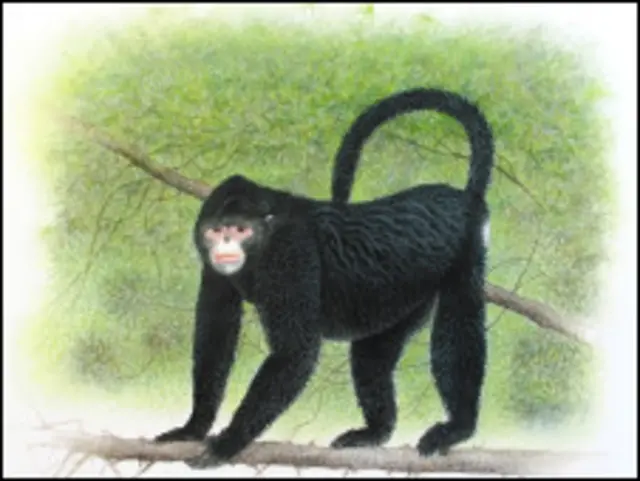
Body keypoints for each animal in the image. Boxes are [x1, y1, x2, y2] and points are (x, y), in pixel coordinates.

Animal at [154, 87, 494, 468]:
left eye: (240, 230)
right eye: (215, 231)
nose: (225, 245)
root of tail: (464, 198)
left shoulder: (291, 251)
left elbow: (295, 351)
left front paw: (228, 442)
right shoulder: (213, 266)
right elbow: (216, 336)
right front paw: (193, 428)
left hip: (466, 253)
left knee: (459, 319)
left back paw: (458, 428)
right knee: (372, 351)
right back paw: (375, 432)